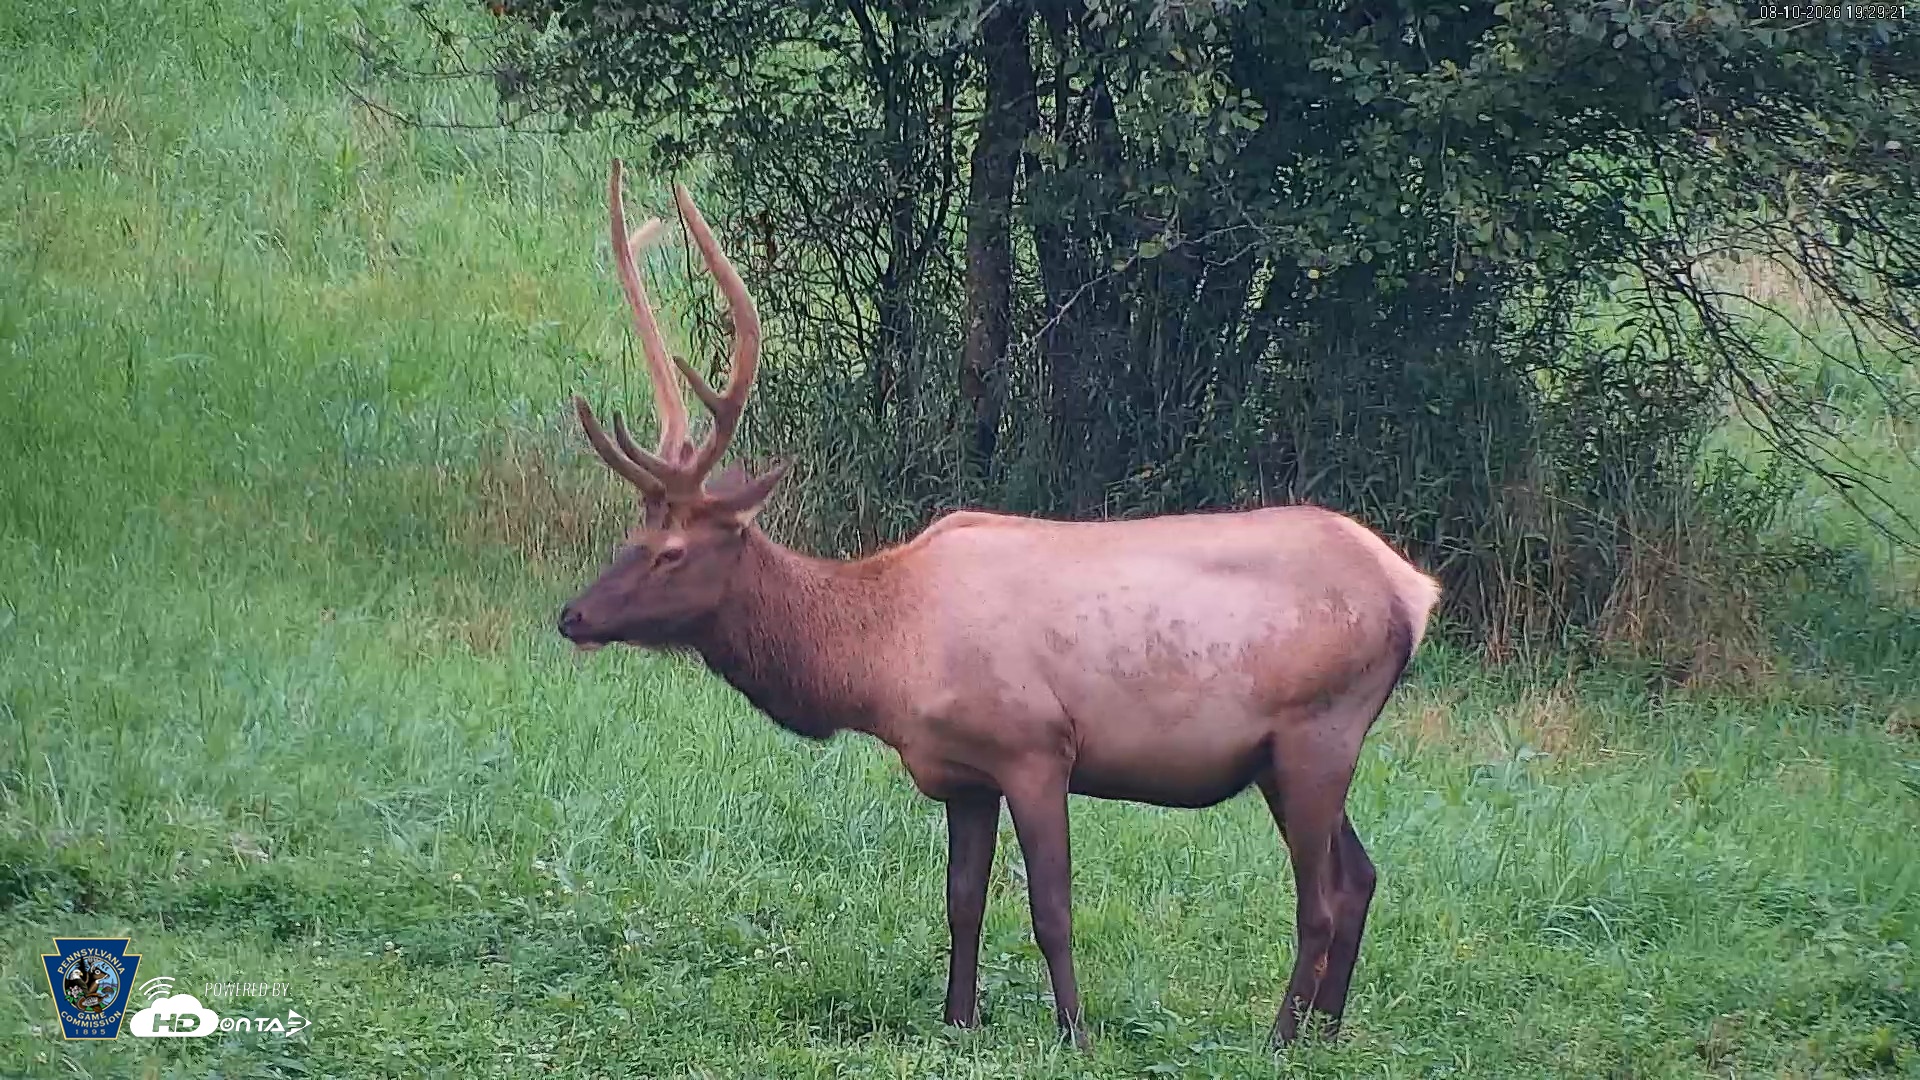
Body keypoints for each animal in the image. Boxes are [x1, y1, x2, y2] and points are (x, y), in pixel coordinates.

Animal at [555, 159, 1443, 1049]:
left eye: (672, 552)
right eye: (630, 537)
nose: (572, 616)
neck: (881, 666)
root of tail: (1416, 590)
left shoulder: (1037, 748)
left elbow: (1051, 909)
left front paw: (1075, 1033)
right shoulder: (963, 774)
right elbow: (962, 903)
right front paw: (958, 1023)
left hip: (1318, 730)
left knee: (1319, 898)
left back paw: (1280, 1037)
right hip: (1284, 756)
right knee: (1361, 877)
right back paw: (1325, 1033)